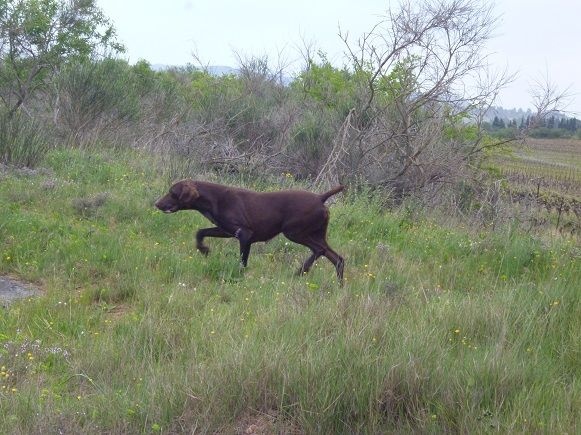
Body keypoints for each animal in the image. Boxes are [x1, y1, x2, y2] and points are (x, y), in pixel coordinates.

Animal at [155, 181, 344, 282]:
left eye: (172, 193)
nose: (156, 203)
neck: (214, 198)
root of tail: (320, 198)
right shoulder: (226, 230)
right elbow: (200, 232)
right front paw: (204, 249)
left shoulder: (244, 234)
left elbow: (242, 262)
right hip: (315, 234)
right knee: (337, 259)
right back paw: (339, 285)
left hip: (294, 232)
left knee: (319, 250)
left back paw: (301, 270)